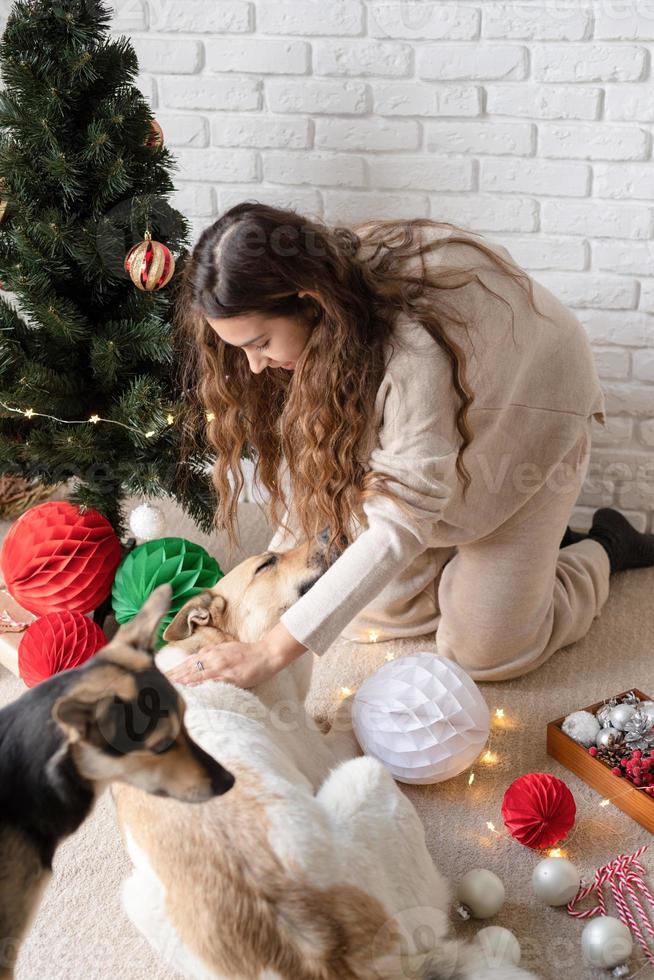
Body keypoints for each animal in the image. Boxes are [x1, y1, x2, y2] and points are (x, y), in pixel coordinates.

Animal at [113, 536, 544, 980]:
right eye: (267, 563)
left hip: (137, 899)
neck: (212, 649)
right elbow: (346, 711)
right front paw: (362, 702)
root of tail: (321, 958)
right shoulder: (318, 749)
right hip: (368, 779)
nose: (327, 536)